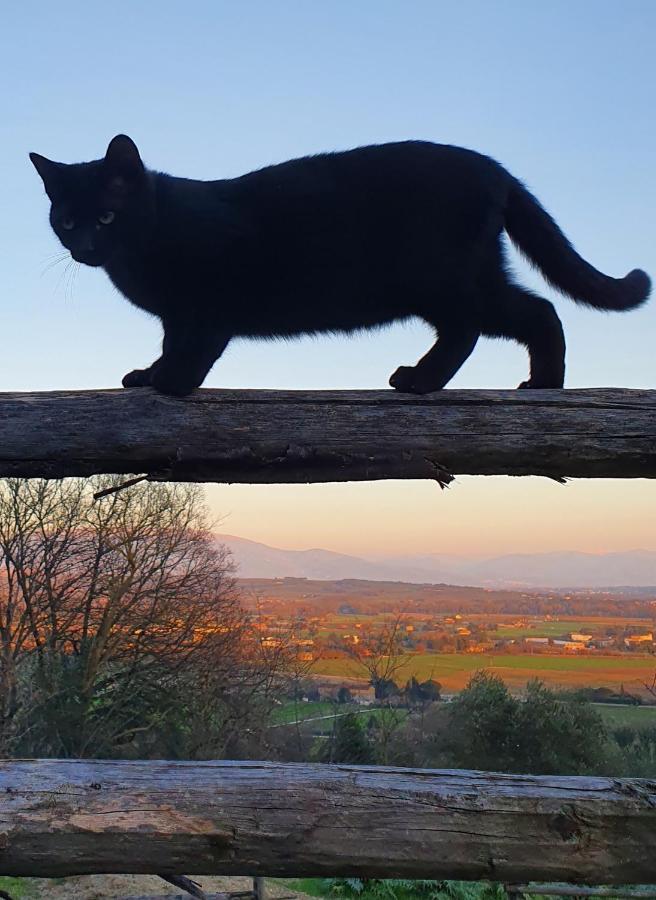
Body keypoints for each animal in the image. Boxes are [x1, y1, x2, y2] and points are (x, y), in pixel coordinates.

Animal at [29, 135, 644, 396]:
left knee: (479, 325)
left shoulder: (209, 302)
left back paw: (423, 381)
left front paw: (173, 383)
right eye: (67, 220)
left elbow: (194, 347)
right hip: (471, 275)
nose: (85, 247)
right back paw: (544, 385)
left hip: (438, 277)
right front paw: (150, 374)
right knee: (534, 311)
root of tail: (496, 168)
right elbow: (169, 342)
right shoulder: (175, 314)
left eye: (107, 216)